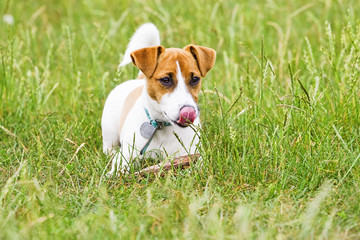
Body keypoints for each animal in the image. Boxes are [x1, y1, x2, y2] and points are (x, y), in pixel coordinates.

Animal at [101, 23, 215, 175]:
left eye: (195, 79)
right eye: (165, 80)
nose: (188, 112)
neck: (162, 126)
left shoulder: (191, 151)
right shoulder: (127, 153)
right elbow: (120, 167)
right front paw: (114, 174)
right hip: (109, 129)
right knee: (108, 147)